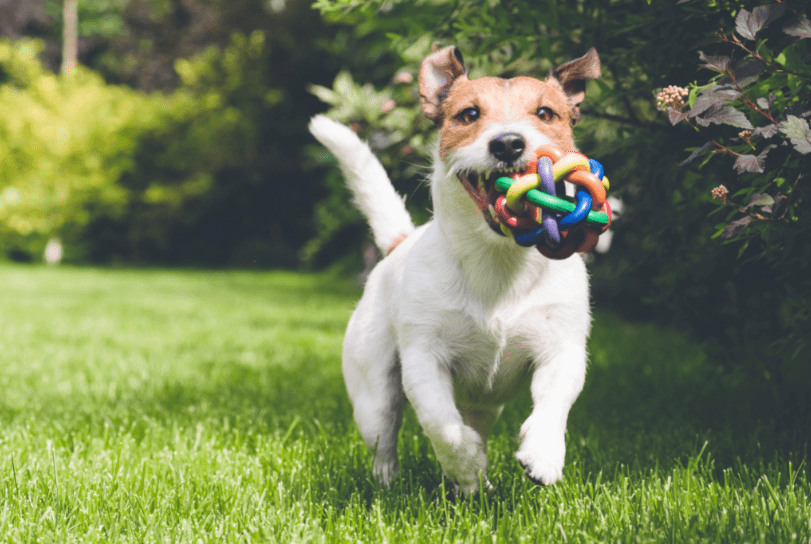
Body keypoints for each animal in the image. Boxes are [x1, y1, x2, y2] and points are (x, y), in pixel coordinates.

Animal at [310, 46, 604, 492]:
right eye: (468, 114)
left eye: (545, 113)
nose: (508, 143)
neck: (498, 260)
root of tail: (399, 243)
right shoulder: (423, 358)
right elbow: (441, 425)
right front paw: (465, 463)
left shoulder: (562, 348)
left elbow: (554, 402)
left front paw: (543, 454)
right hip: (372, 392)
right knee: (385, 437)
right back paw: (398, 480)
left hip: (485, 405)